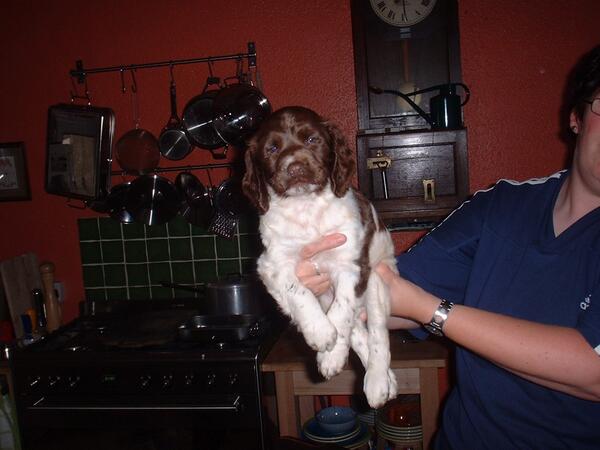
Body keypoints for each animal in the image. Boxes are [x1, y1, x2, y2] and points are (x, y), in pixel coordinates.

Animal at [242, 106, 397, 408]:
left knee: (376, 334)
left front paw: (331, 354)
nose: (295, 168)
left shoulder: (352, 265)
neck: (305, 206)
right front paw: (320, 333)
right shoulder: (273, 263)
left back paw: (377, 383)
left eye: (313, 140)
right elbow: (299, 293)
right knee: (357, 331)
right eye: (272, 148)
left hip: (378, 279)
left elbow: (343, 310)